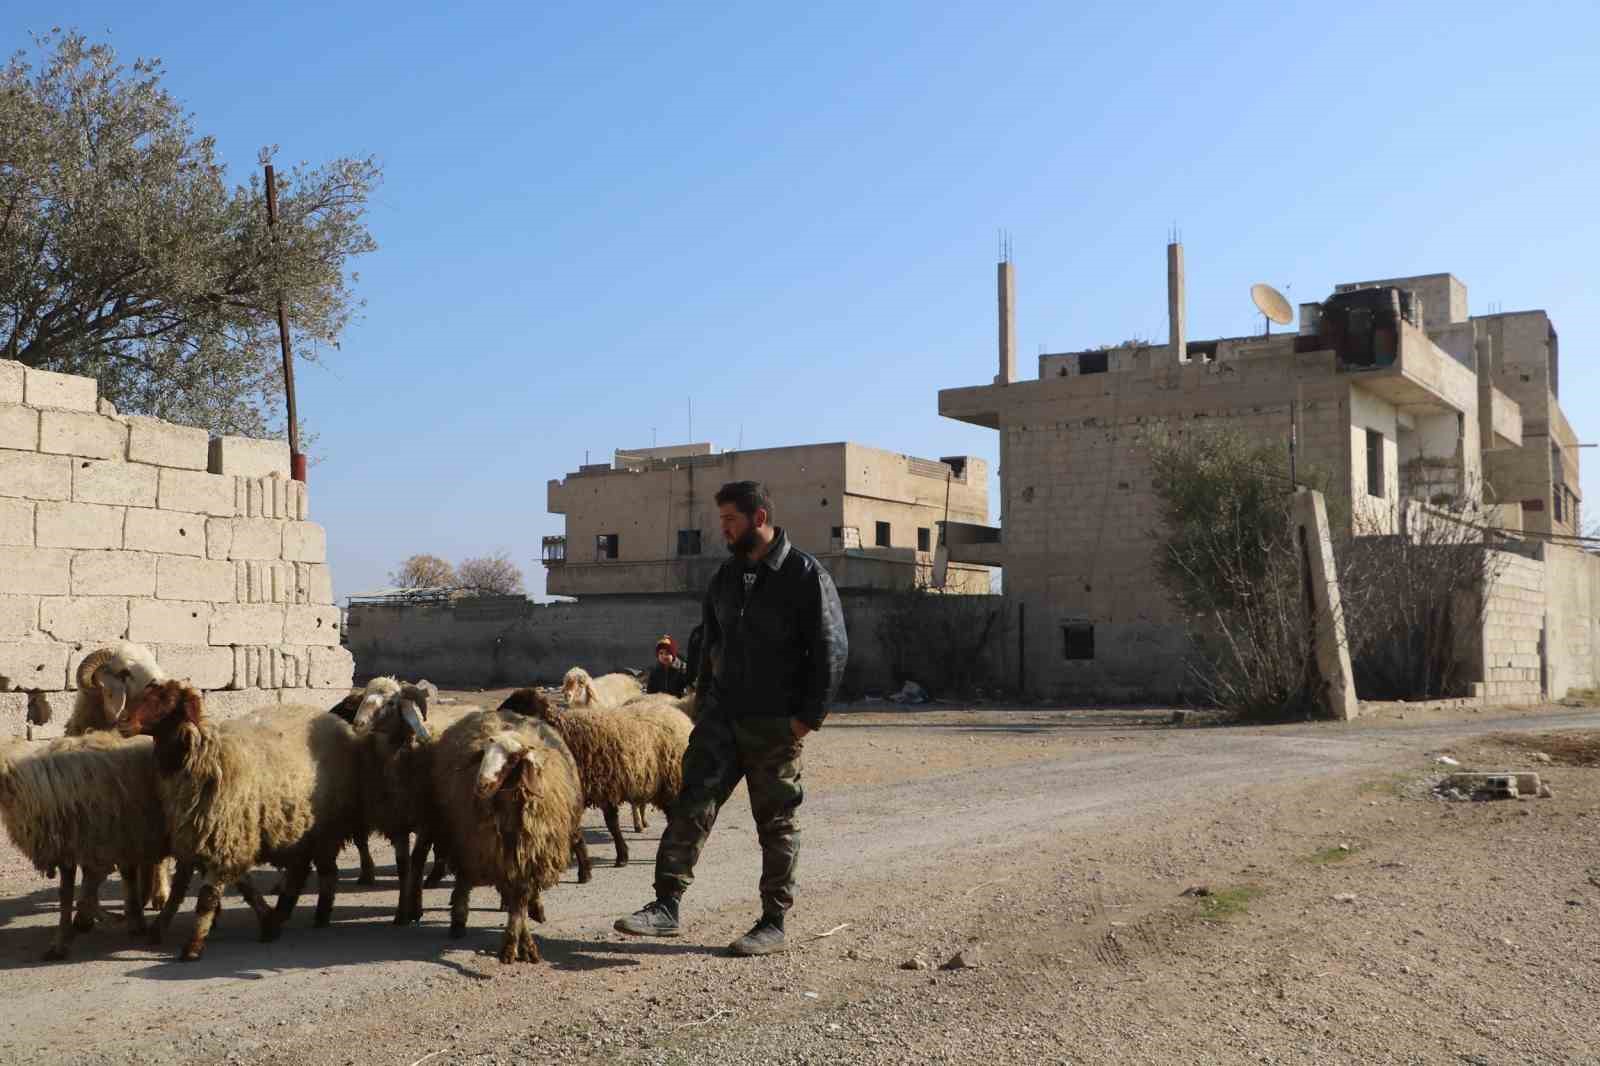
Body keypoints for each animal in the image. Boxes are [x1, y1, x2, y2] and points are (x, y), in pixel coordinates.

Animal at [0, 729, 170, 953]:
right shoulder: (69, 848)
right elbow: (66, 894)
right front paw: (62, 939)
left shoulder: (103, 844)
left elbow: (92, 884)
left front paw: (91, 919)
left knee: (151, 865)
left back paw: (154, 900)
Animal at [119, 681, 368, 960]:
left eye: (166, 700)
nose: (122, 721)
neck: (207, 757)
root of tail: (335, 720)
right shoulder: (197, 836)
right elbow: (186, 891)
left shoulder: (225, 837)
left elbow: (206, 897)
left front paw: (193, 946)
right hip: (299, 828)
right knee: (301, 870)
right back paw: (284, 911)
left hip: (327, 827)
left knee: (326, 872)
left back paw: (321, 915)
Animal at [398, 704, 585, 960]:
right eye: (483, 754)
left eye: (512, 759)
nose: (481, 785)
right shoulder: (495, 854)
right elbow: (515, 899)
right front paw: (512, 946)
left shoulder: (528, 856)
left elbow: (521, 899)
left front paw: (522, 944)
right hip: (456, 834)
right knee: (449, 874)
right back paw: (453, 920)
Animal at [489, 685, 684, 870]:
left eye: (518, 708)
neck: (564, 733)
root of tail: (680, 716)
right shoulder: (603, 787)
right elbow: (610, 823)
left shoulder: (597, 788)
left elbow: (607, 824)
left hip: (672, 781)